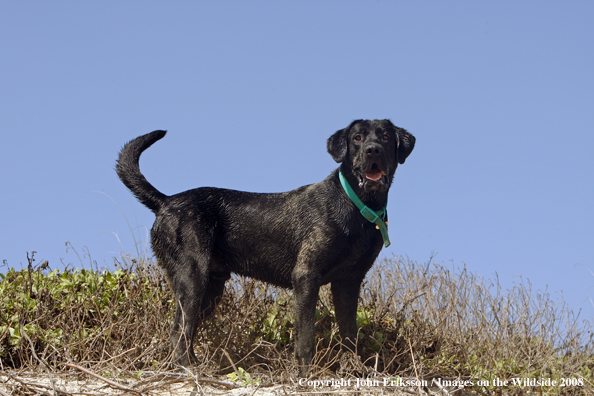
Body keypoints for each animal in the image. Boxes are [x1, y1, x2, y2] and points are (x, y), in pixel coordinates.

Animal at [114, 119, 412, 376]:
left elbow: (350, 335)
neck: (359, 207)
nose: (373, 150)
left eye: (386, 137)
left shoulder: (349, 283)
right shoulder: (306, 276)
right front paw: (305, 375)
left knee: (187, 330)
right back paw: (188, 369)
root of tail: (165, 201)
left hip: (210, 289)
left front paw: (356, 372)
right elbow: (306, 337)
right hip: (192, 278)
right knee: (178, 332)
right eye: (357, 138)